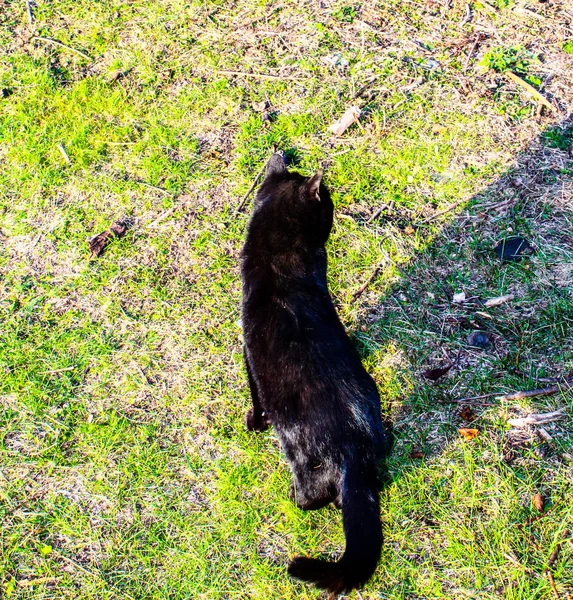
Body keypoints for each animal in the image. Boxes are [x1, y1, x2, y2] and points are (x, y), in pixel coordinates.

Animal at [239, 152, 392, 592]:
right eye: (329, 207)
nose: (336, 213)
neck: (275, 259)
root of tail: (353, 449)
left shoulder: (246, 348)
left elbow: (253, 390)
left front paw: (252, 421)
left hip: (301, 456)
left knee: (313, 497)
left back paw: (293, 495)